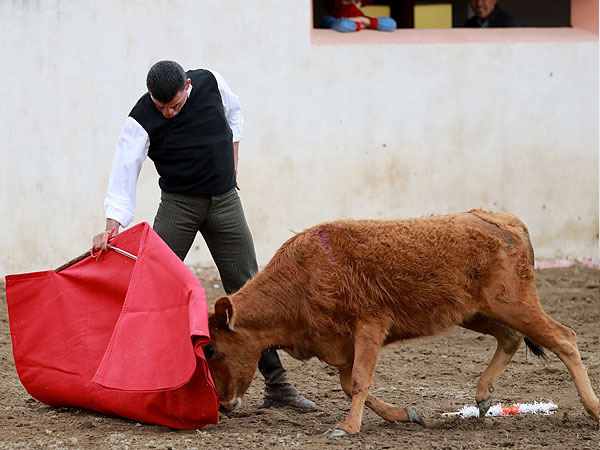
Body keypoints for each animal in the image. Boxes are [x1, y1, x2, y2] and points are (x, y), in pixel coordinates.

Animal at [204, 210, 596, 436]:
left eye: (214, 350)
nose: (221, 405)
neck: (301, 279)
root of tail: (506, 221)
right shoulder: (342, 343)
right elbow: (348, 384)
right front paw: (406, 414)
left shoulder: (369, 327)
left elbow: (359, 382)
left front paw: (347, 428)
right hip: (476, 313)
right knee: (511, 338)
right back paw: (484, 395)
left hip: (514, 303)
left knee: (564, 338)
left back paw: (593, 408)